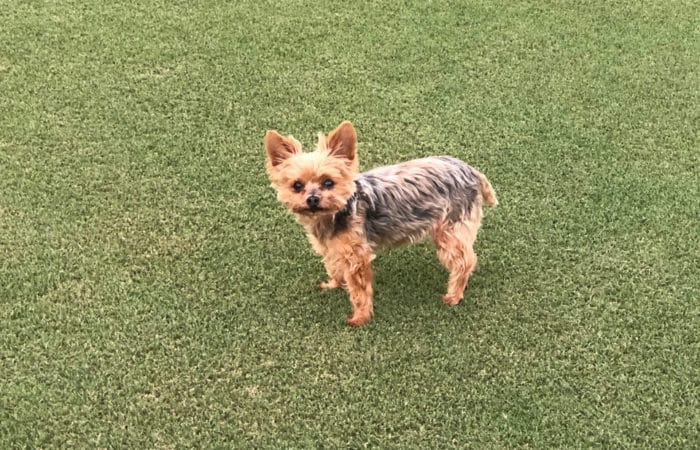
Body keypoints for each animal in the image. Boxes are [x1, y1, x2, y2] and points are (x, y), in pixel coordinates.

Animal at [264, 121, 498, 326]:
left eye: (328, 182)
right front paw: (335, 284)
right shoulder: (334, 247)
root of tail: (471, 170)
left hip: (450, 228)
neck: (334, 214)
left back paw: (454, 295)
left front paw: (360, 317)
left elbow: (359, 290)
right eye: (297, 185)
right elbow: (334, 266)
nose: (312, 199)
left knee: (465, 260)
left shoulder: (356, 256)